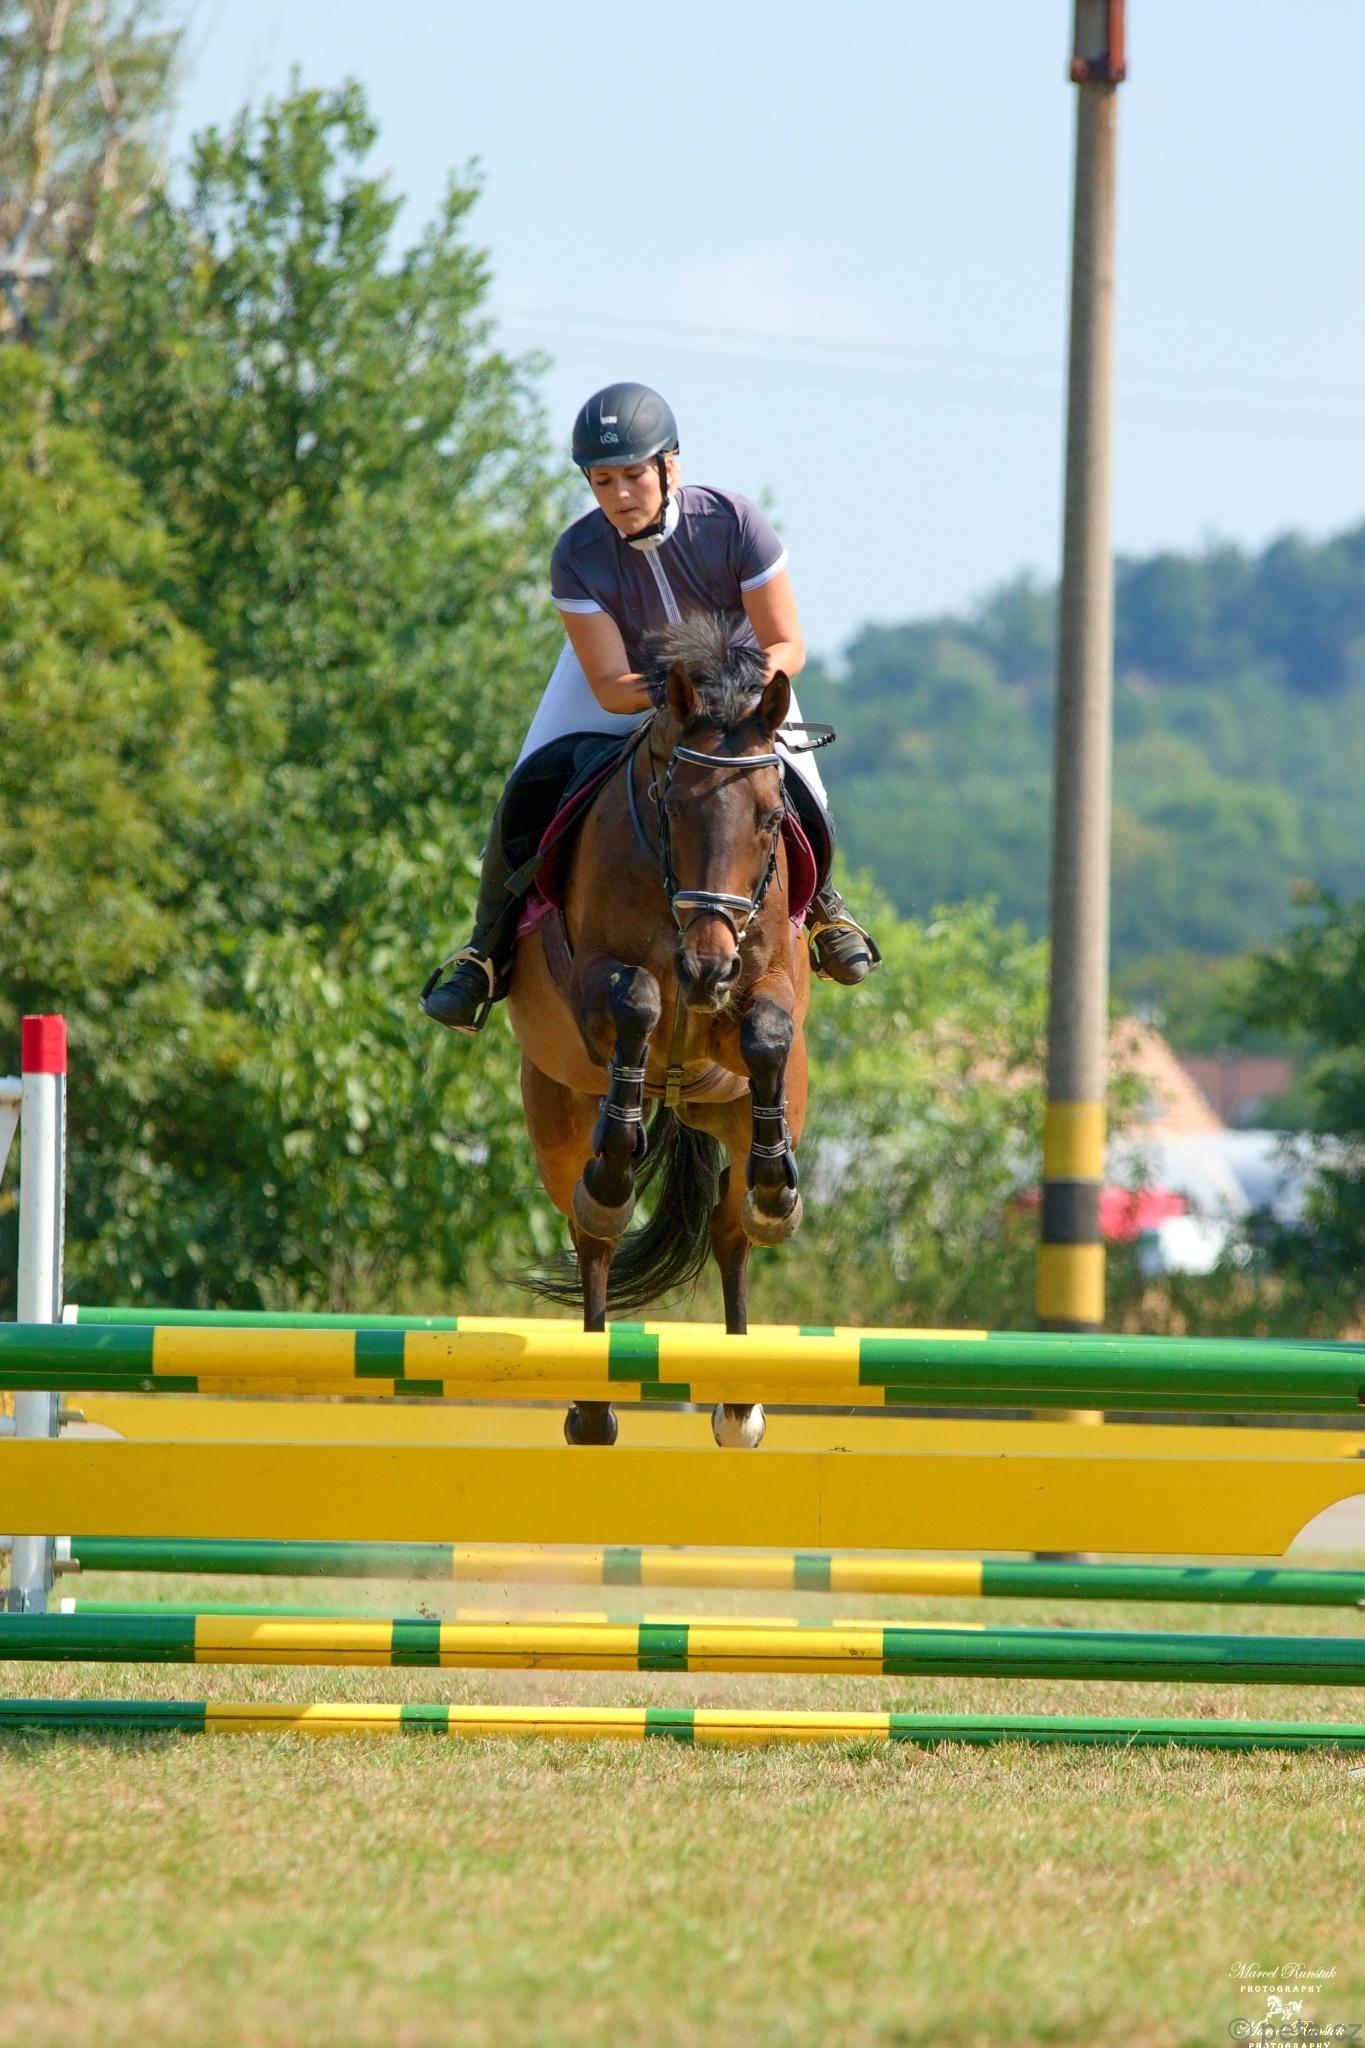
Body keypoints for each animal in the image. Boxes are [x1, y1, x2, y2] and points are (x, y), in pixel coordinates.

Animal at [506, 614, 813, 1449]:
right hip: (556, 1113)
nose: (707, 967)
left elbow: (767, 1031)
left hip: (732, 1110)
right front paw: (617, 1164)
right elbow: (638, 1002)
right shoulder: (592, 982)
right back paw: (592, 1408)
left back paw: (740, 1404)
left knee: (730, 1227)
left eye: (772, 819)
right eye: (672, 806)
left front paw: (778, 1187)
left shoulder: (764, 991)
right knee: (592, 1233)